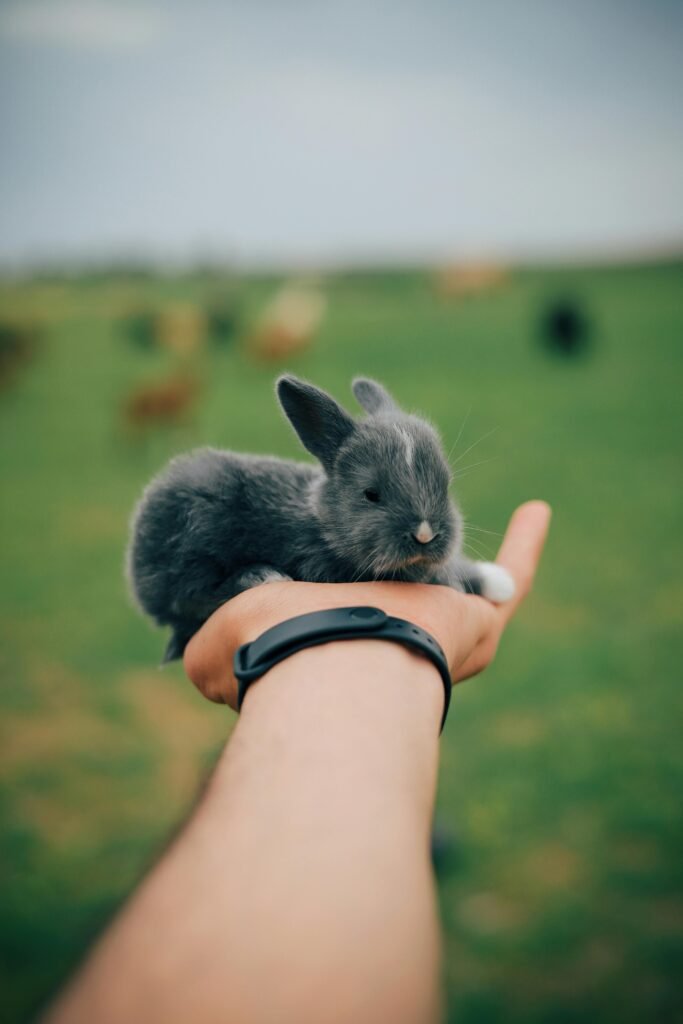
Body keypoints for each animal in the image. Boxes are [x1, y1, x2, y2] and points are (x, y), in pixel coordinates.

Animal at [126, 380, 511, 659]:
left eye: (445, 485)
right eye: (371, 494)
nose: (425, 534)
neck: (324, 524)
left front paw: (499, 581)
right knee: (193, 599)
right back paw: (260, 576)